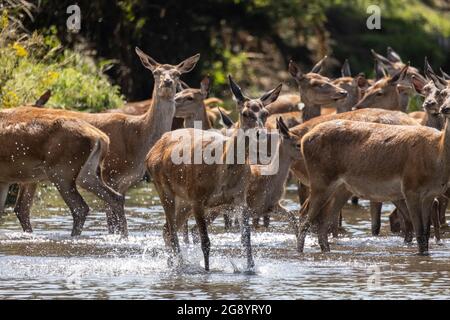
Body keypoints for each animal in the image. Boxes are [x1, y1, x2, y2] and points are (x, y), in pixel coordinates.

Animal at [0, 107, 124, 235]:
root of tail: (102, 138)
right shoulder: (12, 180)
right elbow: (17, 208)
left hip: (61, 172)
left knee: (80, 207)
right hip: (87, 174)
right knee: (115, 197)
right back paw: (122, 235)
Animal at [146, 76, 282, 272]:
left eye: (265, 113)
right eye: (245, 113)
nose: (261, 134)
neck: (222, 172)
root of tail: (151, 151)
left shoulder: (240, 198)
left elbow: (246, 239)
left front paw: (250, 269)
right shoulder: (198, 198)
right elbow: (205, 241)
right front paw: (207, 270)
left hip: (184, 201)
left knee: (166, 230)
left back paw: (174, 263)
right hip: (164, 189)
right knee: (171, 231)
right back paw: (179, 265)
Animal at [298, 80, 450, 255]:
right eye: (444, 93)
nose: (445, 108)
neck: (437, 157)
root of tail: (304, 139)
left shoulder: (431, 194)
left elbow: (425, 235)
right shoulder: (410, 188)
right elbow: (420, 235)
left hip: (341, 188)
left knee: (324, 225)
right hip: (320, 179)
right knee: (305, 218)